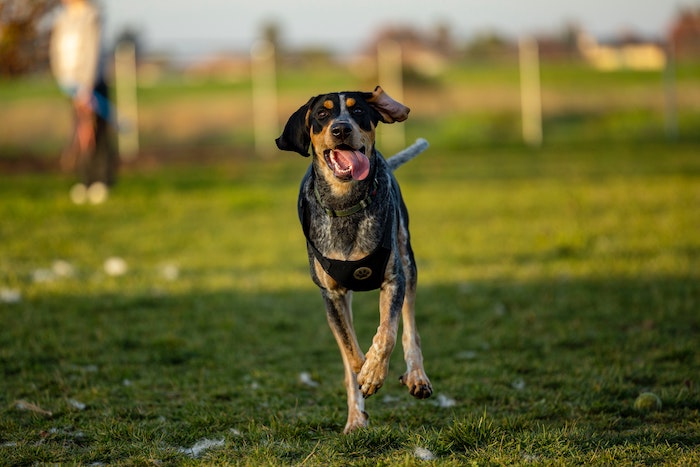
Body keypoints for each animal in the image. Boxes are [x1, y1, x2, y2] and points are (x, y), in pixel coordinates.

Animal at [274, 86, 432, 434]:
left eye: (358, 111)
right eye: (322, 114)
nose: (341, 129)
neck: (346, 203)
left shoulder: (394, 278)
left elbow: (387, 332)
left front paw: (373, 372)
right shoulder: (331, 295)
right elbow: (350, 354)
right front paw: (363, 378)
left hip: (408, 261)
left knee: (410, 326)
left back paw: (416, 375)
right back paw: (356, 417)